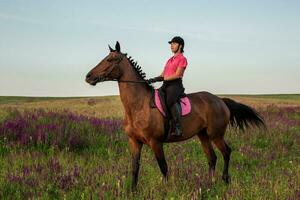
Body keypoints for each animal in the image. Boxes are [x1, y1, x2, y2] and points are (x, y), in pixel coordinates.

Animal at [84, 41, 264, 191]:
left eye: (110, 60)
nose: (88, 77)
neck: (139, 105)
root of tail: (220, 100)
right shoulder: (134, 142)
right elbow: (135, 167)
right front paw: (132, 191)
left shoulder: (155, 142)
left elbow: (163, 167)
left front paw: (166, 189)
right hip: (203, 135)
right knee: (212, 158)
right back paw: (208, 183)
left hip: (216, 134)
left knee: (226, 152)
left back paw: (225, 179)